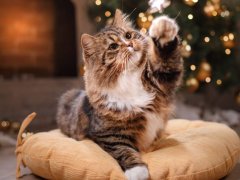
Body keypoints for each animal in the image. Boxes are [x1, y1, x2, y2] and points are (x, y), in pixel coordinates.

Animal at [57, 8, 183, 180]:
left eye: (128, 35)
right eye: (114, 46)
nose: (130, 44)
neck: (128, 78)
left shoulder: (163, 80)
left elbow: (166, 57)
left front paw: (163, 29)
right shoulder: (109, 135)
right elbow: (124, 151)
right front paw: (138, 171)